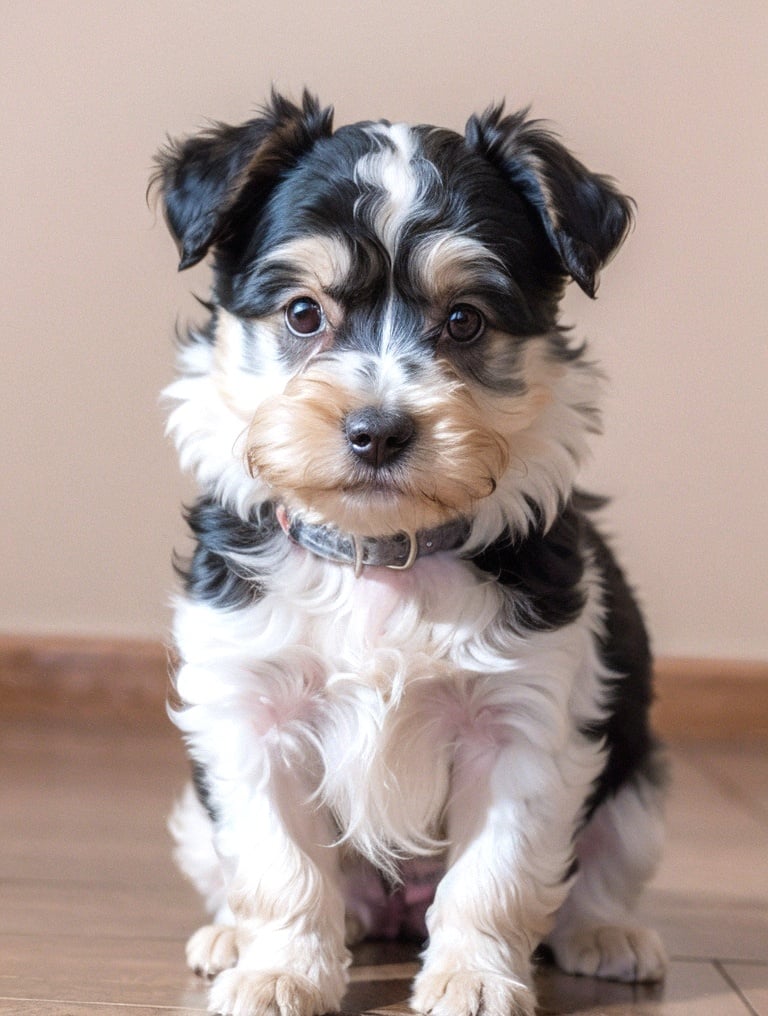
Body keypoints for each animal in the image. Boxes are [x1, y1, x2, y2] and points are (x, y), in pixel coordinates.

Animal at [151, 89, 666, 1016]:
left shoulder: (523, 724)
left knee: (600, 866)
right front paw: (281, 971)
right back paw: (233, 937)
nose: (378, 431)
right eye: (304, 314)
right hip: (195, 815)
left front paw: (473, 977)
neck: (380, 553)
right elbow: (280, 864)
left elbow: (494, 875)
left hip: (637, 786)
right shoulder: (247, 714)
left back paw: (606, 934)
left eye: (464, 321)